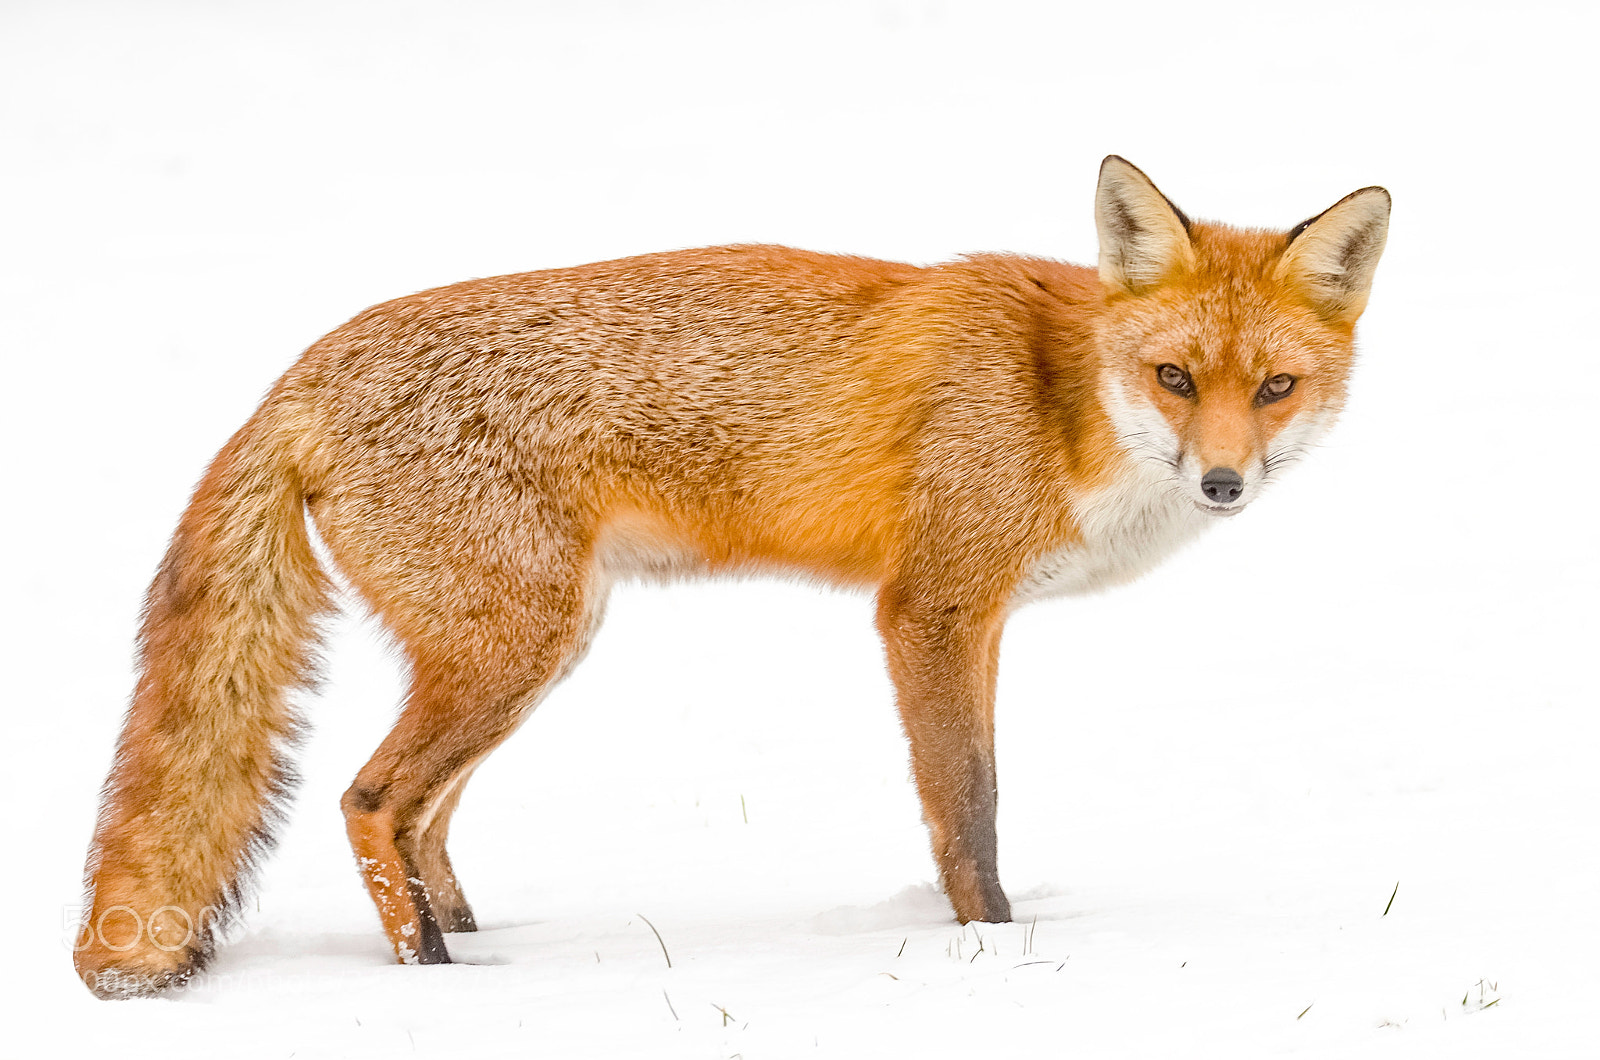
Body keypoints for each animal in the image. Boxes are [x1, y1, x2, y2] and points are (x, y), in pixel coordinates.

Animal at [74, 157, 1388, 997]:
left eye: (1273, 388)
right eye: (1174, 377)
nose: (1221, 482)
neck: (1058, 404)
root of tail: (297, 372)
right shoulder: (932, 609)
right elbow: (967, 811)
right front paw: (990, 955)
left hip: (524, 651)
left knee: (421, 814)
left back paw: (476, 940)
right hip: (513, 648)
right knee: (369, 801)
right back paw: (439, 988)